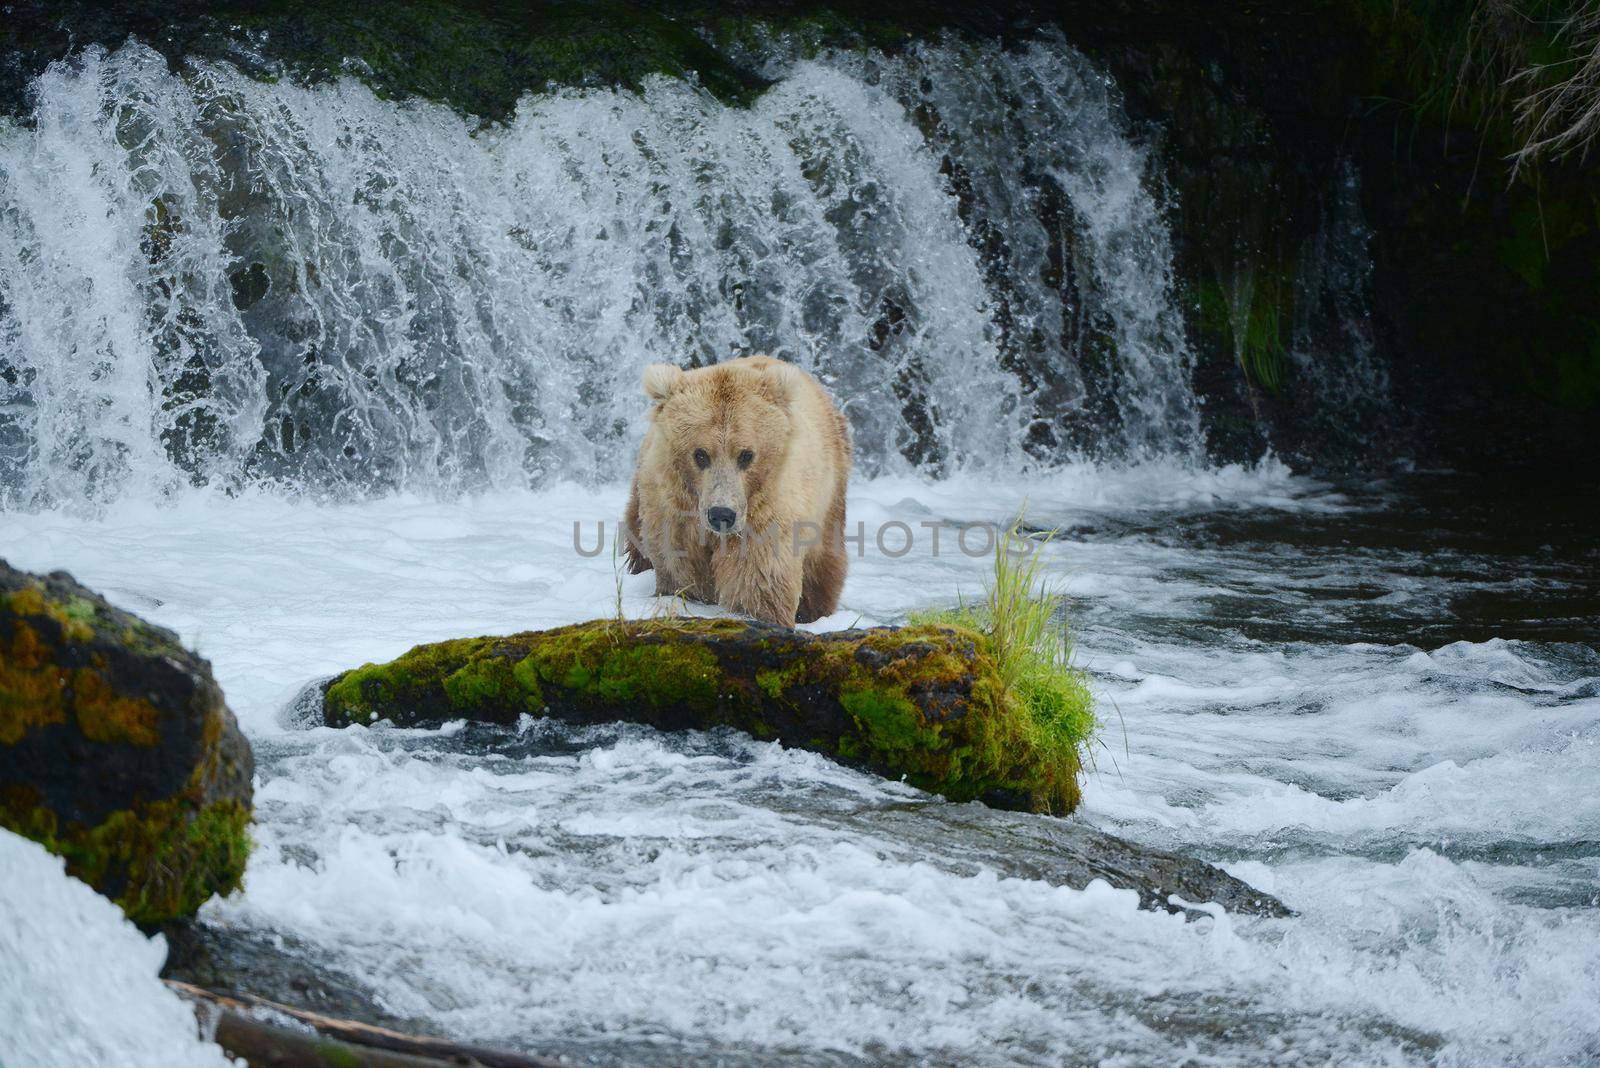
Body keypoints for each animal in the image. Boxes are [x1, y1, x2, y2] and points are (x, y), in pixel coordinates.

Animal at [620, 354, 851, 629]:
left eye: (746, 455)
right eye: (700, 454)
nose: (721, 514)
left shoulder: (766, 509)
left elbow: (756, 579)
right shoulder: (673, 509)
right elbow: (680, 566)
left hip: (829, 493)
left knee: (822, 566)